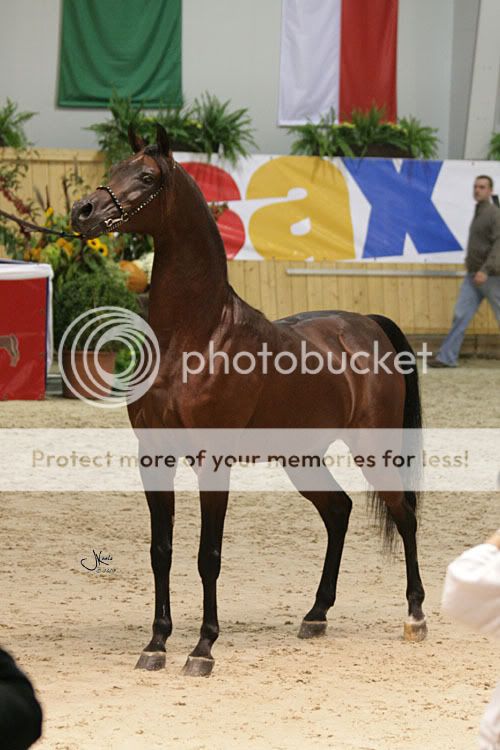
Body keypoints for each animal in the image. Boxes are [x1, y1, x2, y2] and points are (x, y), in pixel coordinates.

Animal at [71, 126, 426, 680]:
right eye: (114, 170)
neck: (194, 337)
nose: (83, 212)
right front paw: (156, 643)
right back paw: (316, 614)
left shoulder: (213, 462)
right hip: (302, 458)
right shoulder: (154, 457)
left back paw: (414, 616)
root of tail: (366, 325)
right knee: (339, 511)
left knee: (403, 514)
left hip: (376, 451)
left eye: (147, 177)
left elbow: (208, 556)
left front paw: (202, 648)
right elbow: (161, 550)